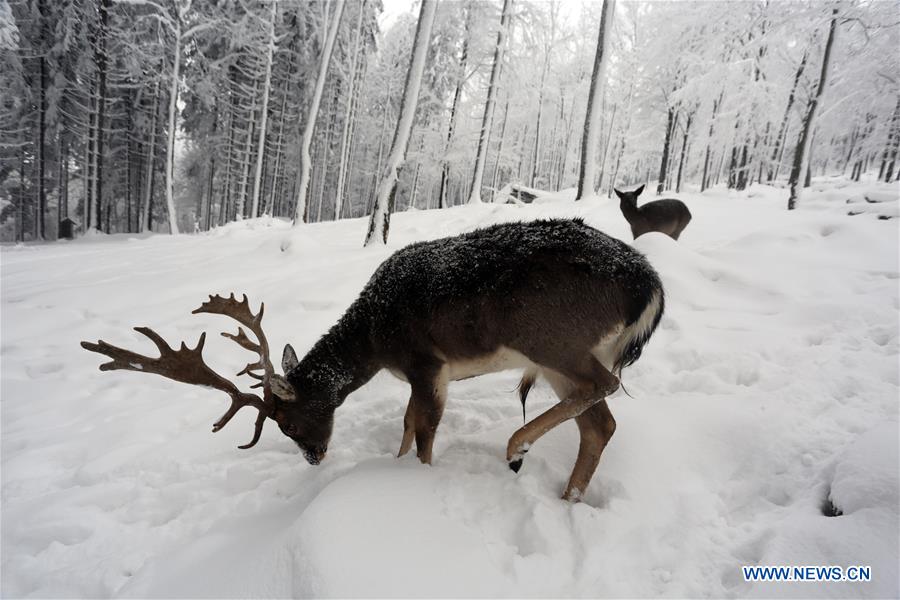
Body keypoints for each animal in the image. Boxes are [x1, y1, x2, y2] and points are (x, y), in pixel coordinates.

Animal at [82, 218, 660, 500]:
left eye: (287, 422)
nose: (314, 457)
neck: (377, 338)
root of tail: (649, 285)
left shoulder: (427, 363)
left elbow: (424, 432)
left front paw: (417, 477)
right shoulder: (417, 374)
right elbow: (406, 426)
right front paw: (396, 467)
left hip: (554, 338)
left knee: (603, 389)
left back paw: (517, 447)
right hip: (563, 359)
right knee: (600, 425)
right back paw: (567, 496)